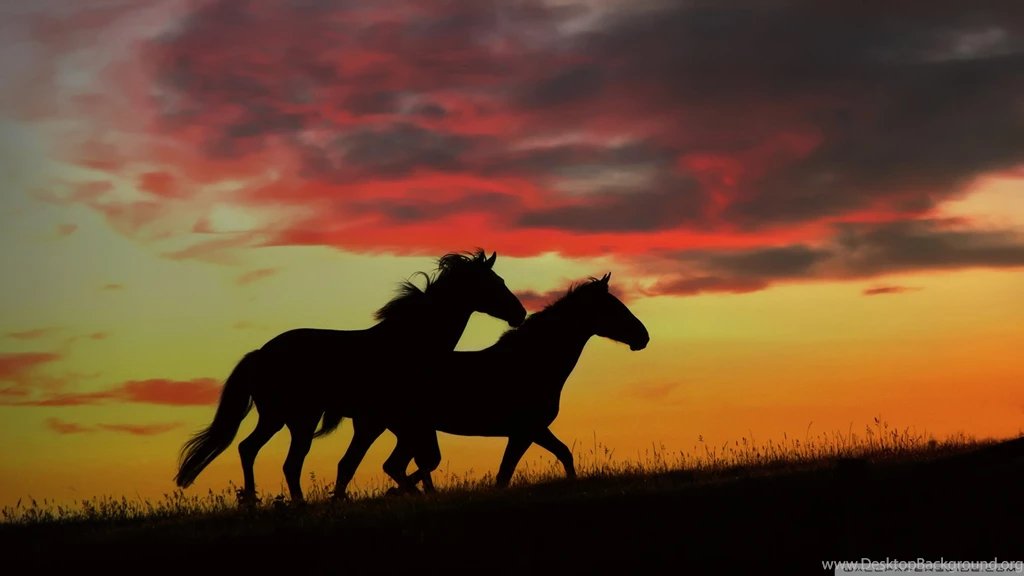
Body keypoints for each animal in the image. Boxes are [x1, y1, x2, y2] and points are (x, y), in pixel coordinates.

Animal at [172, 249, 527, 504]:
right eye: (495, 282)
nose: (520, 314)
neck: (408, 343)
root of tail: (260, 353)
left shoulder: (388, 422)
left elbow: (372, 463)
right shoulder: (383, 420)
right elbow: (375, 463)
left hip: (278, 417)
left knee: (250, 449)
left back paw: (254, 502)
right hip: (297, 418)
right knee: (285, 461)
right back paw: (290, 504)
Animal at [341, 272, 649, 496]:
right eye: (613, 307)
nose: (643, 337)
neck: (532, 363)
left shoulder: (531, 430)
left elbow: (560, 455)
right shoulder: (526, 430)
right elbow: (507, 473)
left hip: (403, 431)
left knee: (389, 465)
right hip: (400, 429)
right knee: (389, 465)